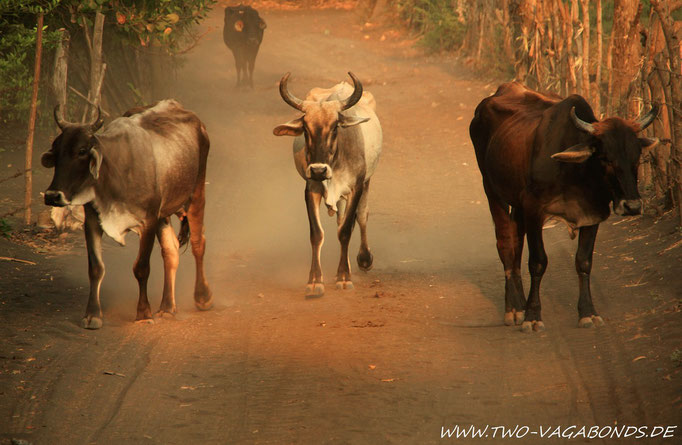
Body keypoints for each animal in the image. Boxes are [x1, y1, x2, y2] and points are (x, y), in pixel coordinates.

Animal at [41, 101, 211, 330]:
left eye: (82, 151)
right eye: (56, 149)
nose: (52, 195)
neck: (115, 171)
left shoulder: (148, 221)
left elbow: (141, 268)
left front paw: (144, 313)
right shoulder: (93, 220)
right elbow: (96, 268)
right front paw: (92, 315)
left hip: (196, 193)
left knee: (198, 243)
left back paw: (202, 297)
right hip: (164, 215)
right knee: (171, 251)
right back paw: (167, 307)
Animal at [272, 72, 380, 294]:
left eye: (335, 127)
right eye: (306, 129)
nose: (318, 170)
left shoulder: (356, 187)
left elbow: (346, 231)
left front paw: (345, 277)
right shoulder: (311, 189)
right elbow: (317, 234)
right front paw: (315, 281)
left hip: (366, 182)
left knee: (361, 217)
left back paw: (363, 259)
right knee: (340, 220)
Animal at [470, 83, 656, 332]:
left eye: (636, 157)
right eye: (605, 157)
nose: (633, 206)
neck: (575, 174)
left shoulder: (593, 214)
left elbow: (583, 262)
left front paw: (588, 313)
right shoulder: (534, 210)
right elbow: (538, 262)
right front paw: (532, 316)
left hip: (517, 203)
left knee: (516, 244)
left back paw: (520, 303)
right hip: (492, 189)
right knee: (505, 244)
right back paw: (514, 309)